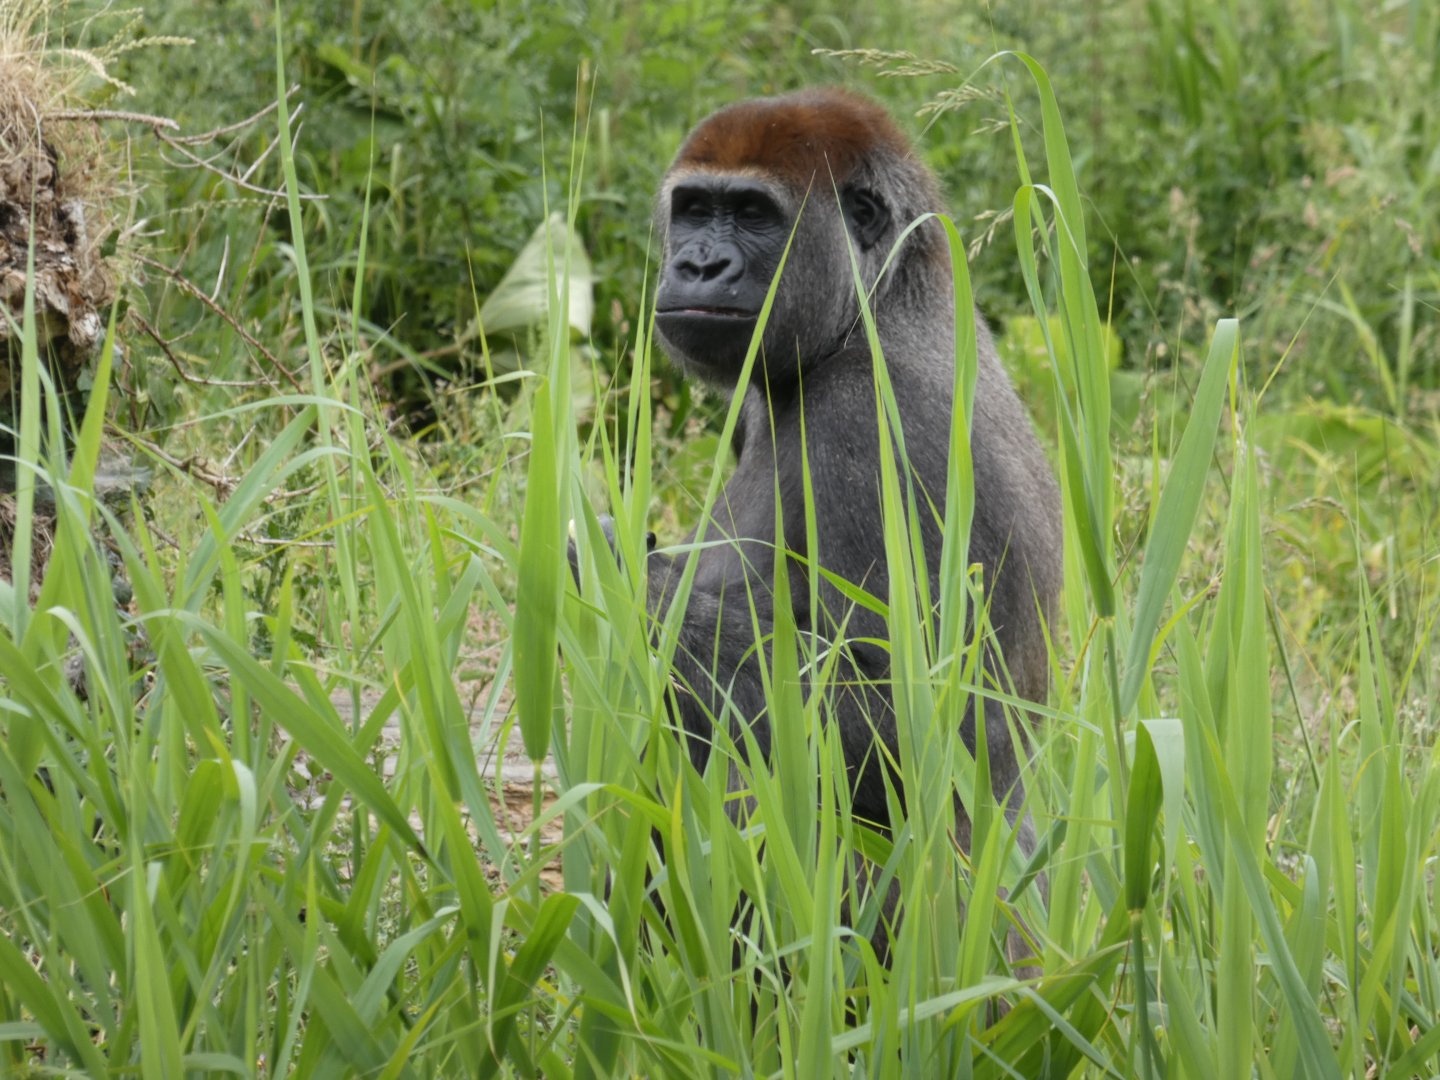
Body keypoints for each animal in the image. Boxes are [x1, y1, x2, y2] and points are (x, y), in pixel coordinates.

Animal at [586, 87, 1062, 958]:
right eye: (695, 207)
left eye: (752, 214)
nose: (697, 264)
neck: (883, 305)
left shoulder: (877, 430)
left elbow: (908, 729)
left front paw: (630, 580)